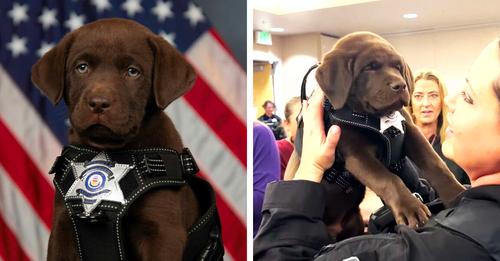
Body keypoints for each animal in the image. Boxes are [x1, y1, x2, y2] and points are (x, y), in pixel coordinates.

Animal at [30, 17, 199, 258]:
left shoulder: (163, 231)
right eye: (82, 67)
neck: (113, 150)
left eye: (132, 71)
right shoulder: (62, 226)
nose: (98, 103)